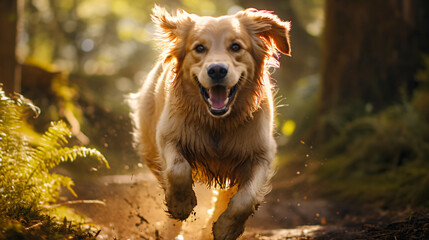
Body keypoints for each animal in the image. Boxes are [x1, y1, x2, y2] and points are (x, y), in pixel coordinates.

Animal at [129, 5, 290, 240]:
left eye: (235, 46)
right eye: (199, 48)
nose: (217, 70)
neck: (217, 122)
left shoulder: (260, 153)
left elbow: (246, 198)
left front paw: (226, 228)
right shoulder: (168, 135)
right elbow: (177, 170)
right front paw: (181, 205)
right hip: (150, 146)